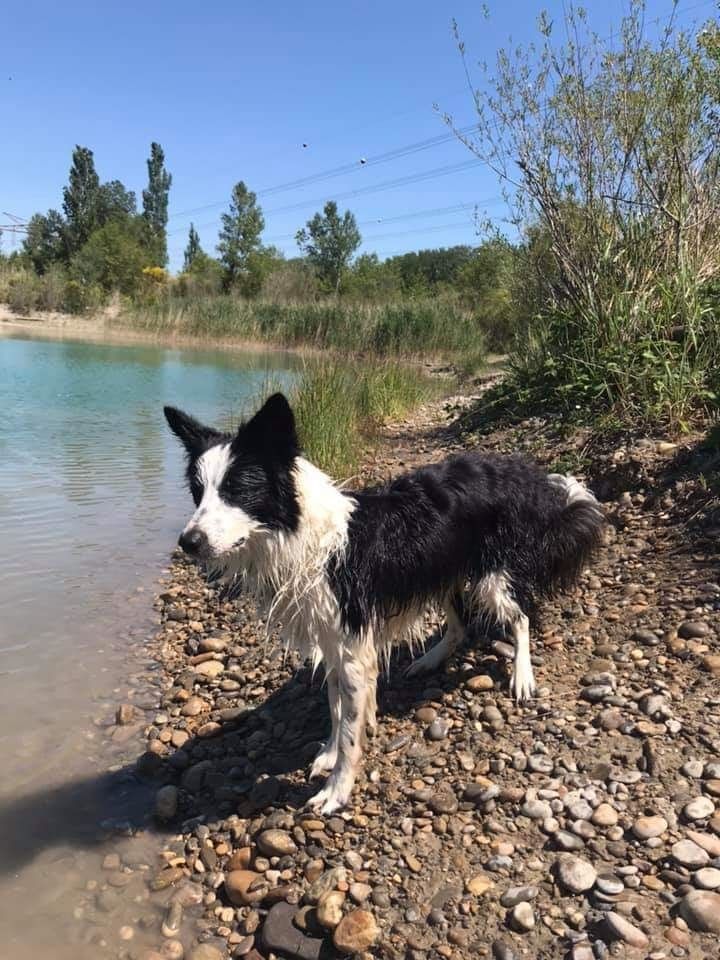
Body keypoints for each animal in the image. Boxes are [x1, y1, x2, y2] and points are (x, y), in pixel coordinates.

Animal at [163, 394, 600, 812]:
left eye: (237, 490)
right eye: (198, 493)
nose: (188, 542)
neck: (304, 536)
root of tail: (523, 472)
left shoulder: (353, 643)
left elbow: (349, 726)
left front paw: (336, 790)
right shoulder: (332, 638)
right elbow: (336, 707)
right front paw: (328, 752)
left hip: (493, 574)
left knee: (521, 616)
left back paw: (522, 675)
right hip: (442, 570)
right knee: (460, 625)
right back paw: (428, 660)